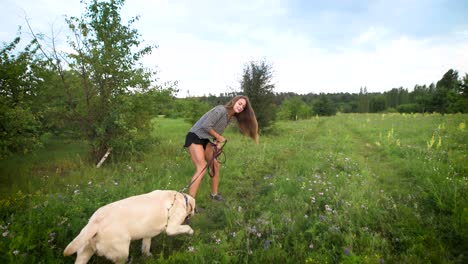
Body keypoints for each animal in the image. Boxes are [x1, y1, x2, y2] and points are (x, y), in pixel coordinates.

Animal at [63, 190, 195, 264]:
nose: (194, 212)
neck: (181, 198)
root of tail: (96, 222)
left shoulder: (147, 234)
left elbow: (146, 247)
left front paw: (147, 256)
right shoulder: (171, 229)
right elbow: (186, 228)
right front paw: (190, 232)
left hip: (84, 251)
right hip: (122, 253)